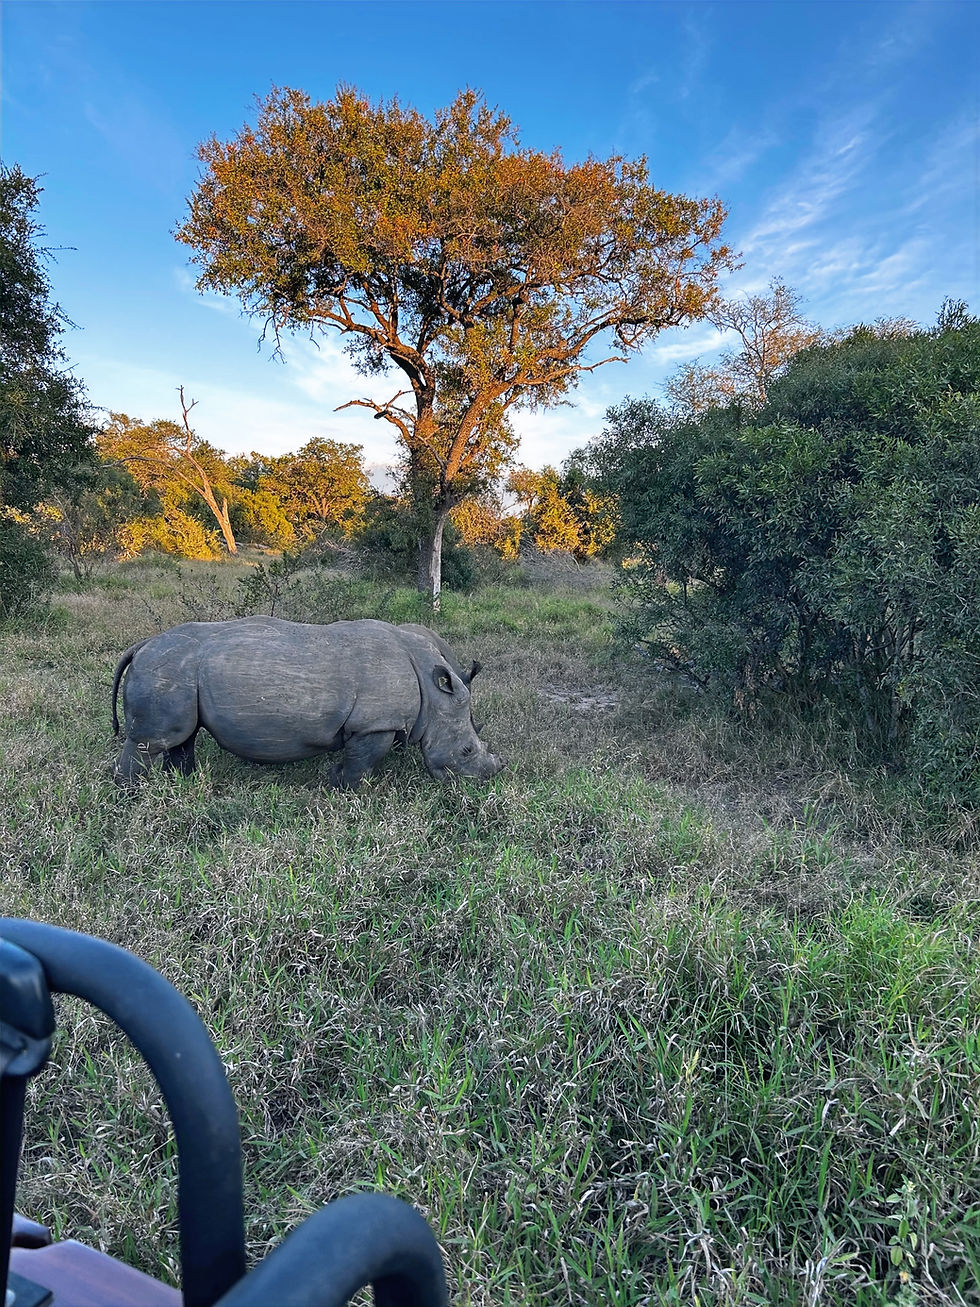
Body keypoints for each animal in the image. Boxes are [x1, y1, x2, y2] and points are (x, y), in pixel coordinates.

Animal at [111, 616, 503, 789]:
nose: (489, 776)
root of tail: (142, 644)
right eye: (467, 751)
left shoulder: (374, 724)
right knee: (151, 742)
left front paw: (335, 781)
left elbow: (357, 760)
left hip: (177, 673)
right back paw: (131, 795)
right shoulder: (374, 725)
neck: (433, 694)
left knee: (182, 737)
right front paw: (348, 792)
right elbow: (362, 763)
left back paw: (182, 784)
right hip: (166, 669)